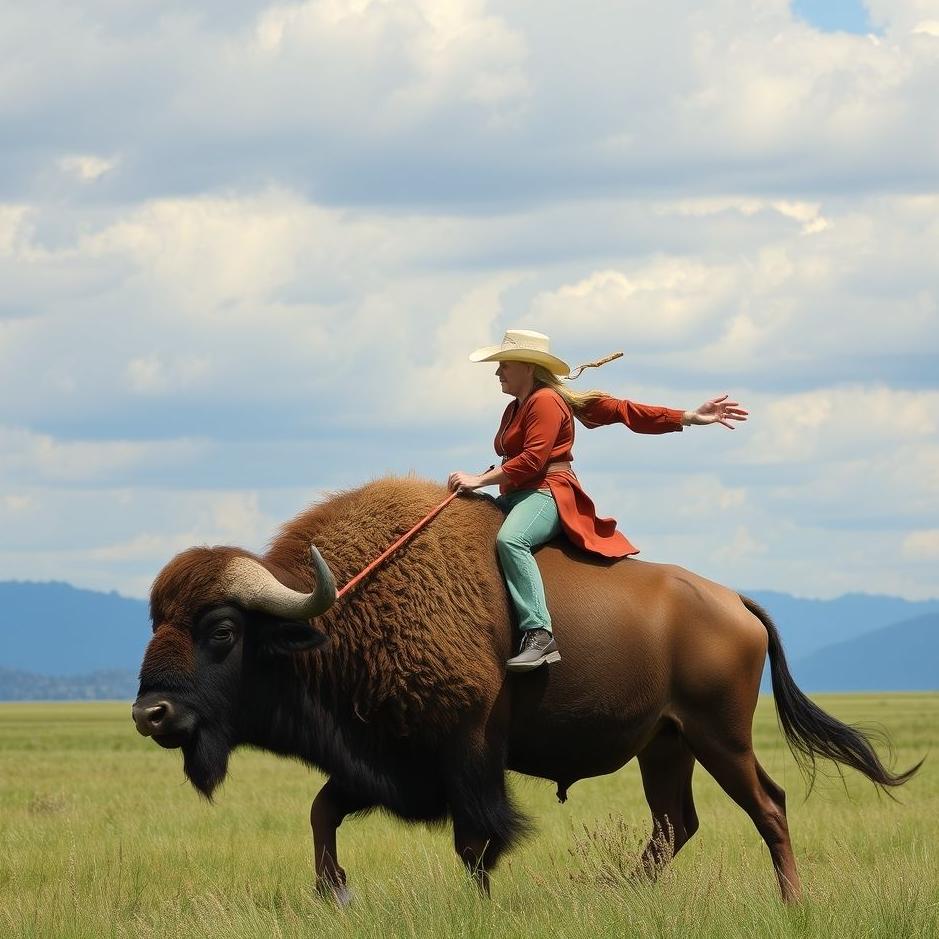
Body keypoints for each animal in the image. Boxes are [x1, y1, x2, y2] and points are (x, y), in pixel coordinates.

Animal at [133, 475, 918, 903]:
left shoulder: (467, 755)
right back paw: (617, 895)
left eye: (223, 630)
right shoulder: (382, 758)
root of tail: (734, 602)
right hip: (664, 746)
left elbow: (476, 843)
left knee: (767, 807)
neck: (334, 613)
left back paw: (789, 903)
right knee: (674, 824)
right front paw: (336, 893)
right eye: (155, 620)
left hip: (717, 738)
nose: (150, 713)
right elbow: (323, 812)